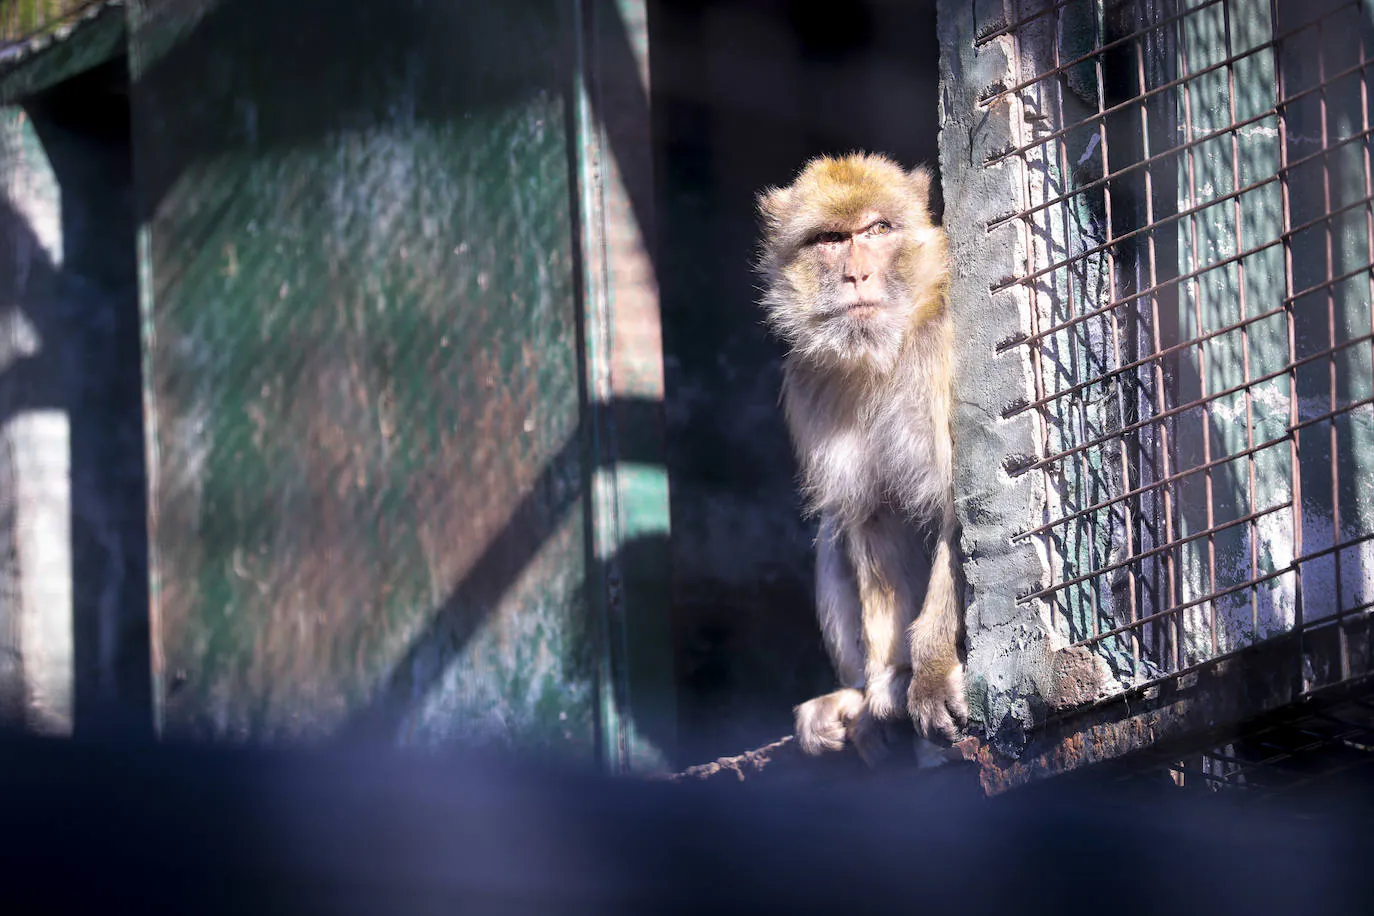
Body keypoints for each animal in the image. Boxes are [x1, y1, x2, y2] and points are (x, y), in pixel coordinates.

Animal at [752, 153, 967, 763]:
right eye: (830, 239)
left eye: (876, 230)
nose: (857, 275)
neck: (884, 355)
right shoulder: (808, 384)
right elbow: (872, 515)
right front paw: (892, 678)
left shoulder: (943, 354)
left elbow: (956, 511)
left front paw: (931, 674)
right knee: (834, 528)